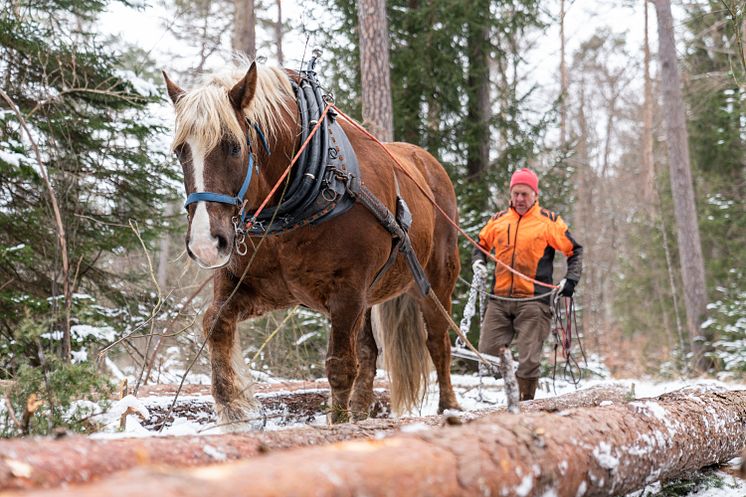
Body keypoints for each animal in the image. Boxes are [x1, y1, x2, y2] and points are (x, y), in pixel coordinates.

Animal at [163, 58, 460, 422]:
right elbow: (214, 323)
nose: (206, 243)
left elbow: (340, 367)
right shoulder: (259, 288)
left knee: (438, 342)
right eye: (180, 151)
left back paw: (448, 405)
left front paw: (338, 423)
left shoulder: (347, 292)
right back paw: (361, 412)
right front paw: (233, 408)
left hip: (433, 281)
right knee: (370, 352)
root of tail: (426, 162)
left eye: (233, 146)